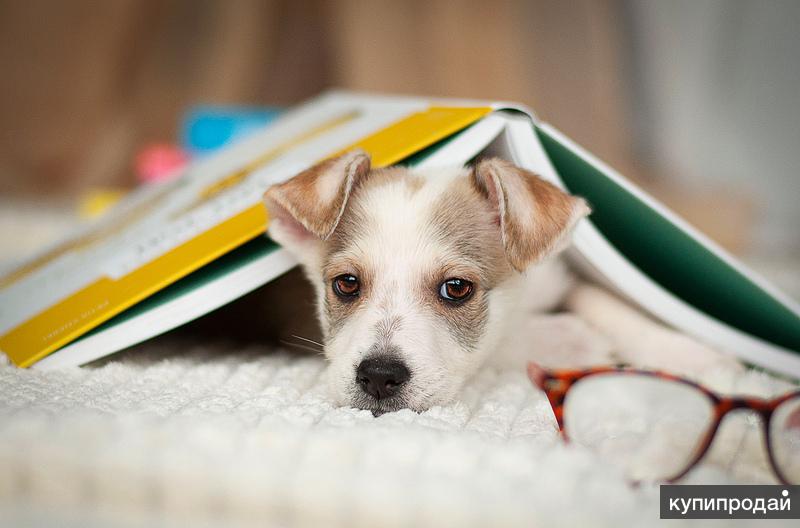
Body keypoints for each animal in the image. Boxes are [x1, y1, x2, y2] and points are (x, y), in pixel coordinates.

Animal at [264, 151, 736, 414]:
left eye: (456, 288)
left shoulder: (558, 276)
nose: (379, 377)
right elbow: (506, 343)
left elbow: (602, 299)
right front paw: (573, 340)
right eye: (346, 283)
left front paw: (690, 352)